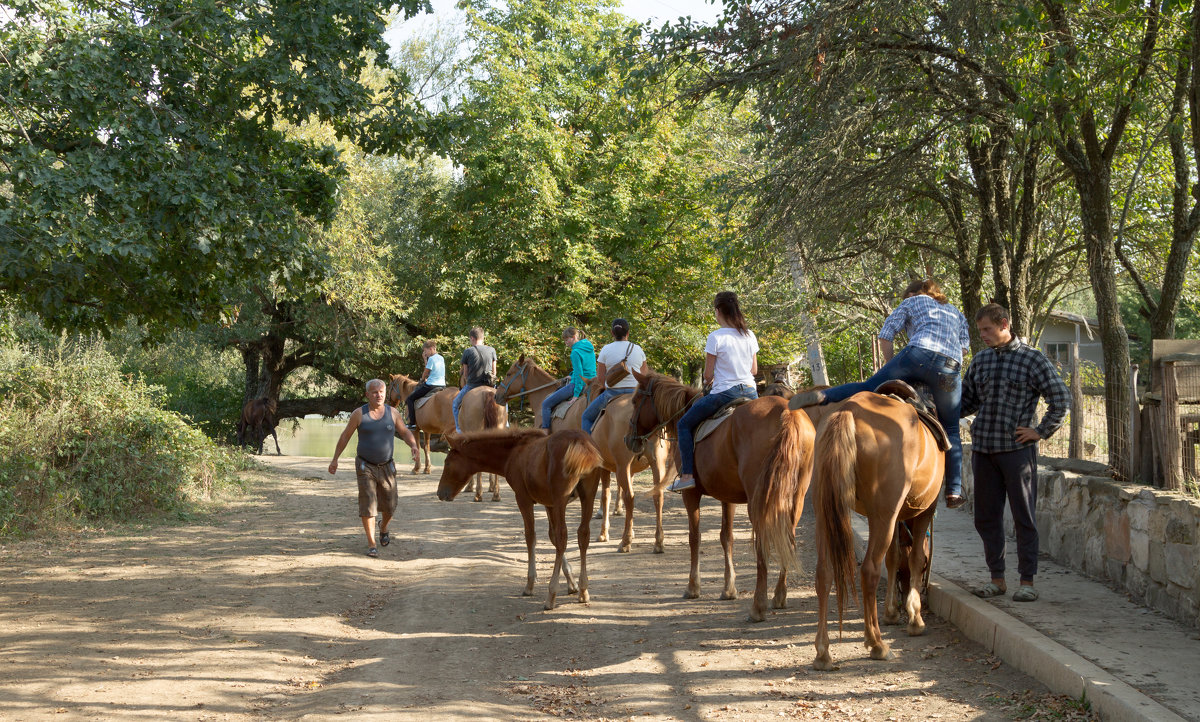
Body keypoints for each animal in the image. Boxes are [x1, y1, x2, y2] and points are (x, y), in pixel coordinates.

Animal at [436, 426, 604, 606]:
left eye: (447, 463)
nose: (439, 493)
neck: (514, 452)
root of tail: (579, 441)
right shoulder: (549, 503)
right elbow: (552, 537)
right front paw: (572, 583)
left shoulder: (523, 499)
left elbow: (531, 537)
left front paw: (530, 584)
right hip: (588, 496)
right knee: (582, 534)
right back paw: (583, 590)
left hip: (562, 498)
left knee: (563, 536)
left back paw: (551, 595)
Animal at [494, 357, 681, 551]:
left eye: (509, 373)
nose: (496, 395)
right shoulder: (606, 465)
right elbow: (606, 494)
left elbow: (603, 495)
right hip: (656, 464)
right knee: (657, 495)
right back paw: (658, 541)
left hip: (624, 466)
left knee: (630, 497)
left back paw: (625, 541)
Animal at [628, 371, 816, 618]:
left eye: (634, 401)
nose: (629, 440)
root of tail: (787, 411)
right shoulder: (728, 497)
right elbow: (726, 537)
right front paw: (729, 589)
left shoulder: (691, 494)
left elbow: (694, 538)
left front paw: (693, 587)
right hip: (795, 497)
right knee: (787, 534)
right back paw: (779, 596)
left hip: (759, 499)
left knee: (763, 542)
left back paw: (758, 606)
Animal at [811, 390, 940, 666]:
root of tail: (849, 411)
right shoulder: (924, 510)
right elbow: (914, 558)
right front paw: (915, 618)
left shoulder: (894, 517)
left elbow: (893, 558)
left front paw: (892, 611)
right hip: (882, 515)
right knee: (869, 569)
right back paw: (876, 643)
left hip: (825, 511)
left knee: (824, 573)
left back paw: (823, 652)